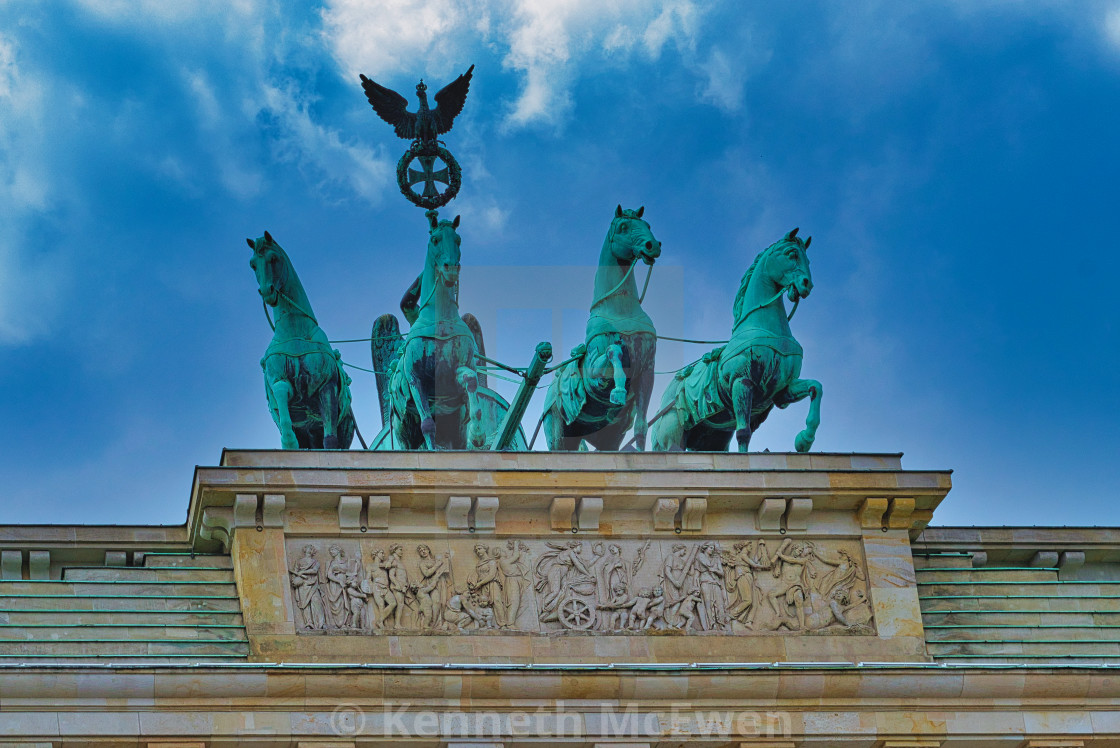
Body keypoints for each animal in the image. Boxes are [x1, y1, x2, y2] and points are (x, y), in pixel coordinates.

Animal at [248, 230, 353, 447]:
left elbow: (330, 440)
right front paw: (288, 441)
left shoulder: (326, 387)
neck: (295, 332)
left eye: (273, 258)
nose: (267, 292)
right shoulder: (281, 382)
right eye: (253, 264)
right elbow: (281, 391)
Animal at [544, 204, 658, 450]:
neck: (620, 310)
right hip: (556, 428)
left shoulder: (647, 370)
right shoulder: (595, 377)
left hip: (609, 436)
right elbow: (613, 351)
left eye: (647, 225)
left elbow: (641, 426)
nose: (652, 246)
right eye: (623, 226)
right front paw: (619, 391)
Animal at [649, 225, 824, 452]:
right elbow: (743, 432)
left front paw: (804, 439)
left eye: (808, 261)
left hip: (713, 438)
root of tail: (662, 405)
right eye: (791, 254)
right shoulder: (742, 382)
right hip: (671, 438)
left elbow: (816, 387)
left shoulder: (782, 390)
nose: (806, 284)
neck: (762, 327)